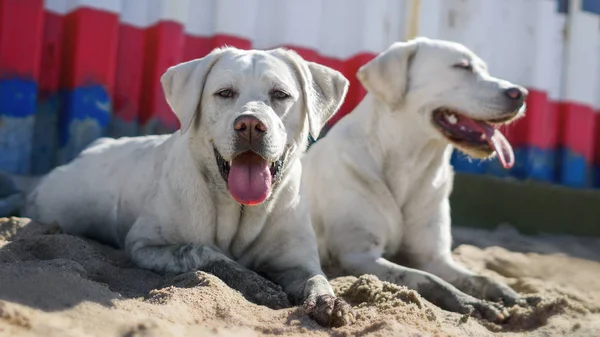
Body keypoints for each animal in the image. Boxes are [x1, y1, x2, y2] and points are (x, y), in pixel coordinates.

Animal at [21, 46, 354, 326]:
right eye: (224, 93)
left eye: (281, 94)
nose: (249, 125)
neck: (239, 210)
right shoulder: (143, 245)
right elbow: (203, 251)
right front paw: (258, 284)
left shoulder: (300, 262)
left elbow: (318, 280)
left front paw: (329, 302)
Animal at [302, 36, 536, 320]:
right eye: (462, 66)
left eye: (485, 69)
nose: (520, 93)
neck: (410, 164)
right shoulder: (358, 254)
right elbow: (428, 279)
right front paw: (469, 302)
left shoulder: (434, 257)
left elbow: (482, 277)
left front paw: (508, 294)